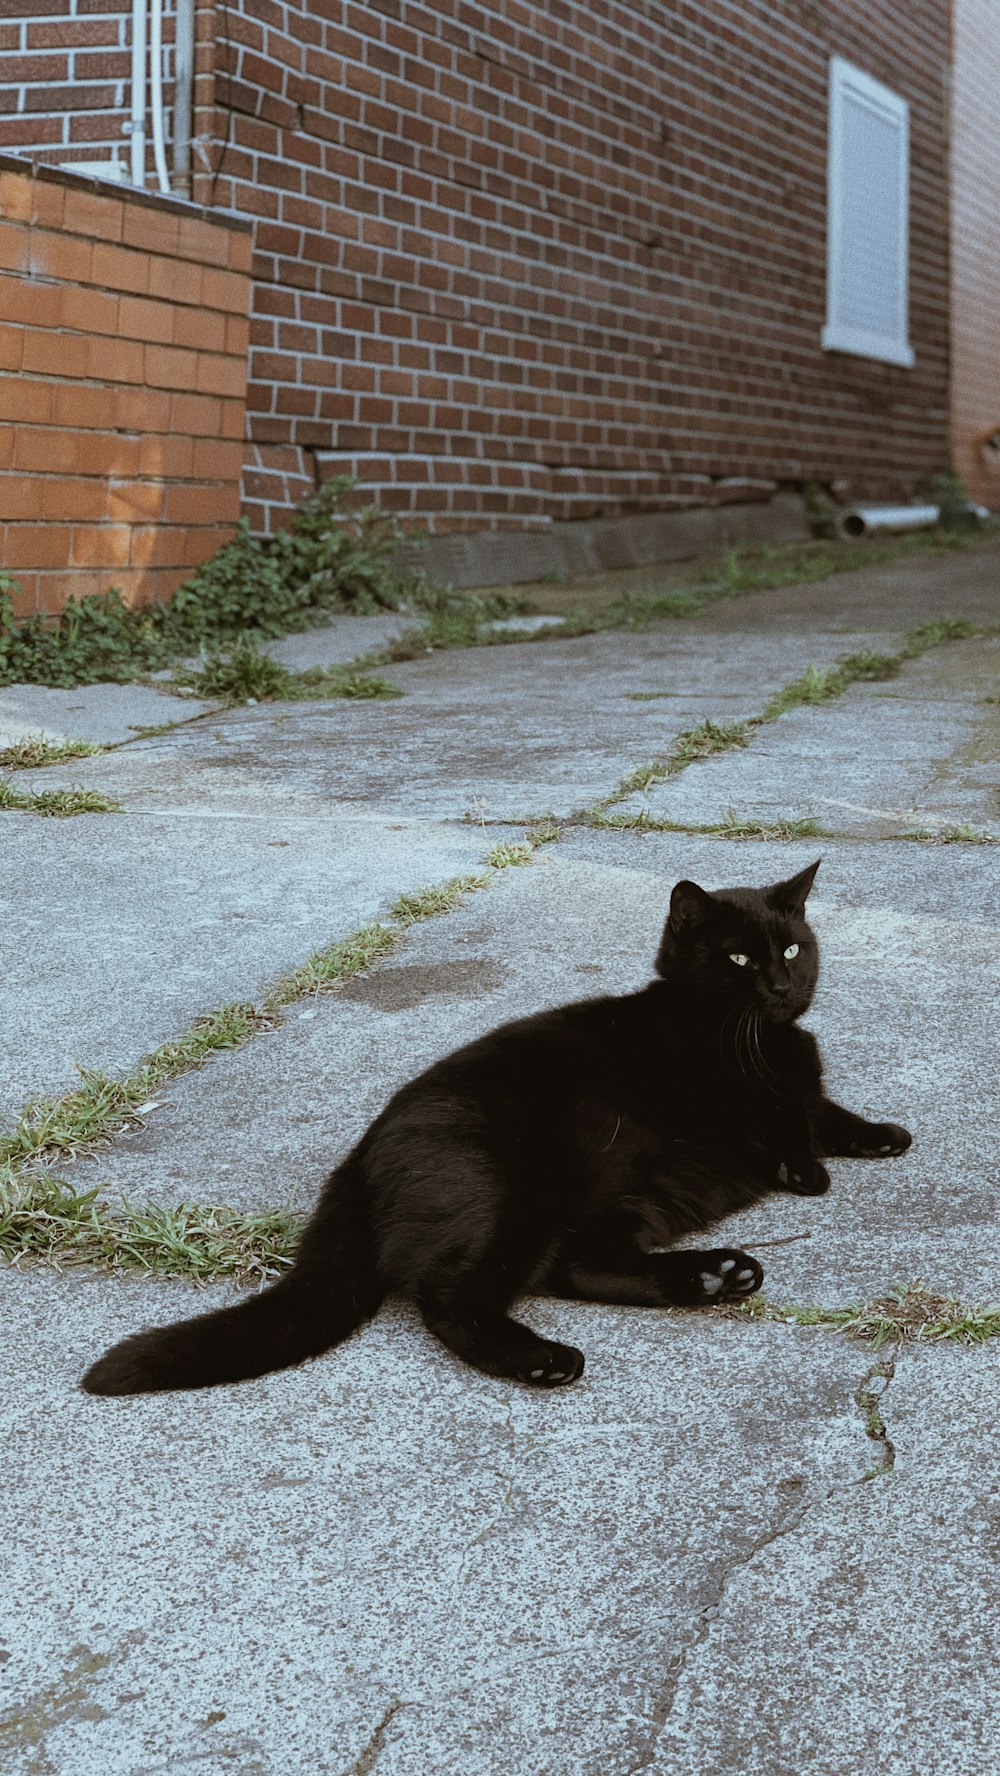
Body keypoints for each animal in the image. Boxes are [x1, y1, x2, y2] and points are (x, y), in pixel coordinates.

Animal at [83, 859, 916, 1399]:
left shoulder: (804, 1083)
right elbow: (787, 1120)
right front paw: (807, 1170)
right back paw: (544, 1359)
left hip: (606, 1206)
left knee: (578, 1266)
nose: (780, 985)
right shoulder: (741, 1096)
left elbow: (824, 1107)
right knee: (453, 1297)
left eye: (793, 948)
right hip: (510, 1192)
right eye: (740, 956)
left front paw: (880, 1134)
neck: (764, 1037)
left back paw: (714, 1275)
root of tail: (359, 1157)